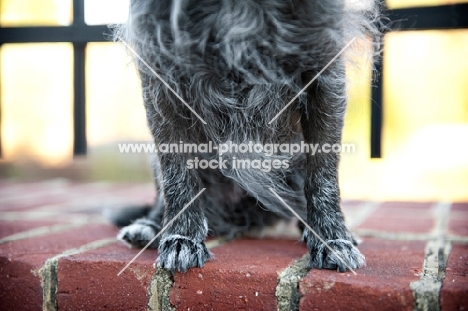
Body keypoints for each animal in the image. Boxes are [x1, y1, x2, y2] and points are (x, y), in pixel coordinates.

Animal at [112, 0, 380, 272]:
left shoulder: (324, 66)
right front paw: (182, 238)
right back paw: (149, 227)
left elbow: (322, 177)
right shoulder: (161, 70)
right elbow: (177, 178)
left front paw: (332, 240)